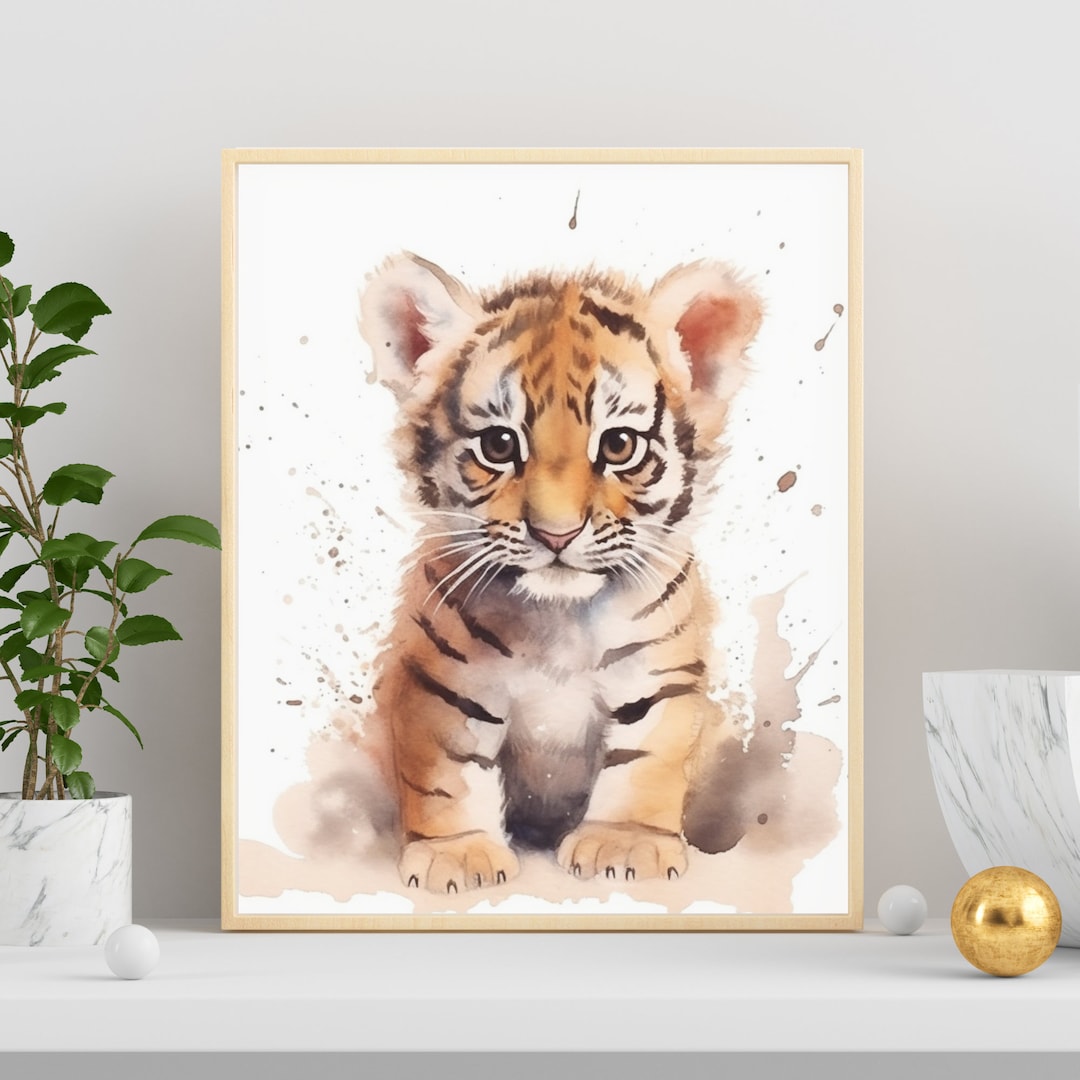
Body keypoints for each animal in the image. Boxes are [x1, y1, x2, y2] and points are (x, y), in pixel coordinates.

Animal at [358, 252, 763, 894]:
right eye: (499, 445)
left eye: (619, 446)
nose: (556, 534)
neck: (560, 620)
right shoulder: (442, 682)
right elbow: (446, 771)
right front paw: (457, 855)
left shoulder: (659, 677)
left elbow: (646, 761)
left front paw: (626, 846)